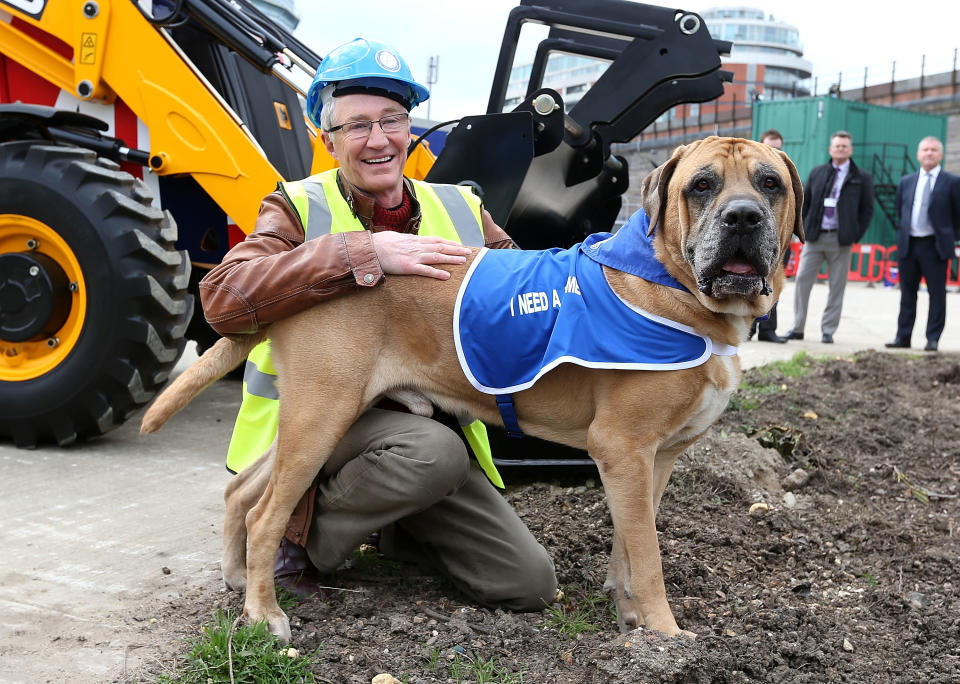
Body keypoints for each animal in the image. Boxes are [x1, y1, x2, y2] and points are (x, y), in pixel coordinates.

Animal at [142, 138, 804, 640]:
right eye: (702, 186)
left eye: (770, 183)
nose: (743, 216)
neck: (672, 282)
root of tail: (298, 275)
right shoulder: (623, 448)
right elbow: (649, 556)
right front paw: (666, 638)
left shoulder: (653, 461)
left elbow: (628, 546)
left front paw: (633, 621)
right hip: (322, 415)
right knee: (266, 515)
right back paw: (265, 614)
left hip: (313, 418)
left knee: (242, 492)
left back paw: (237, 581)